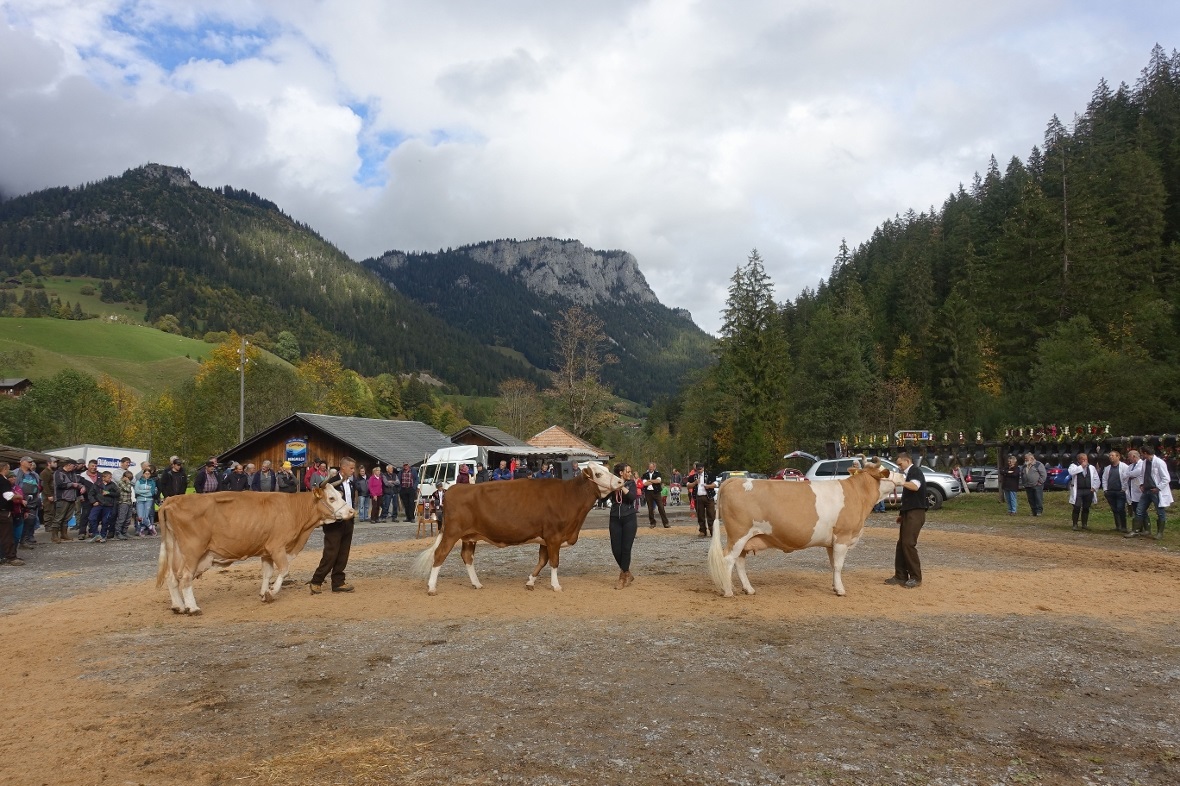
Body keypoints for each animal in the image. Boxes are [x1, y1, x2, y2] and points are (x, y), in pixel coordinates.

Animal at [156, 483, 355, 615]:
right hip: (192, 551)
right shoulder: (277, 547)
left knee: (171, 577)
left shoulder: (266, 551)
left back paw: (179, 606)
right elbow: (283, 570)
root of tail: (173, 499)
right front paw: (271, 592)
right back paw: (193, 607)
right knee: (185, 577)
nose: (352, 512)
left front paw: (263, 592)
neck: (293, 509)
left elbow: (267, 573)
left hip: (175, 549)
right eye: (331, 498)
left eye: (340, 494)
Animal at [412, 462, 623, 594]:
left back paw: (477, 584)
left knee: (467, 557)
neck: (569, 497)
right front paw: (556, 586)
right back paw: (432, 588)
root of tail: (454, 489)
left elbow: (542, 561)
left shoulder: (545, 538)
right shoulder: (554, 536)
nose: (621, 481)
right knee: (440, 554)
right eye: (598, 474)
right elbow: (554, 562)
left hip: (470, 536)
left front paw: (530, 582)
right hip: (452, 532)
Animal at [707, 460, 903, 597]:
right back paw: (728, 591)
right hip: (738, 535)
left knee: (739, 562)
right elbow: (839, 566)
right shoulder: (843, 537)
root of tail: (734, 480)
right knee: (728, 560)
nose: (902, 474)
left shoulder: (832, 542)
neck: (857, 494)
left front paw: (835, 587)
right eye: (886, 471)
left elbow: (833, 565)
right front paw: (841, 590)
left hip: (745, 539)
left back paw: (749, 589)